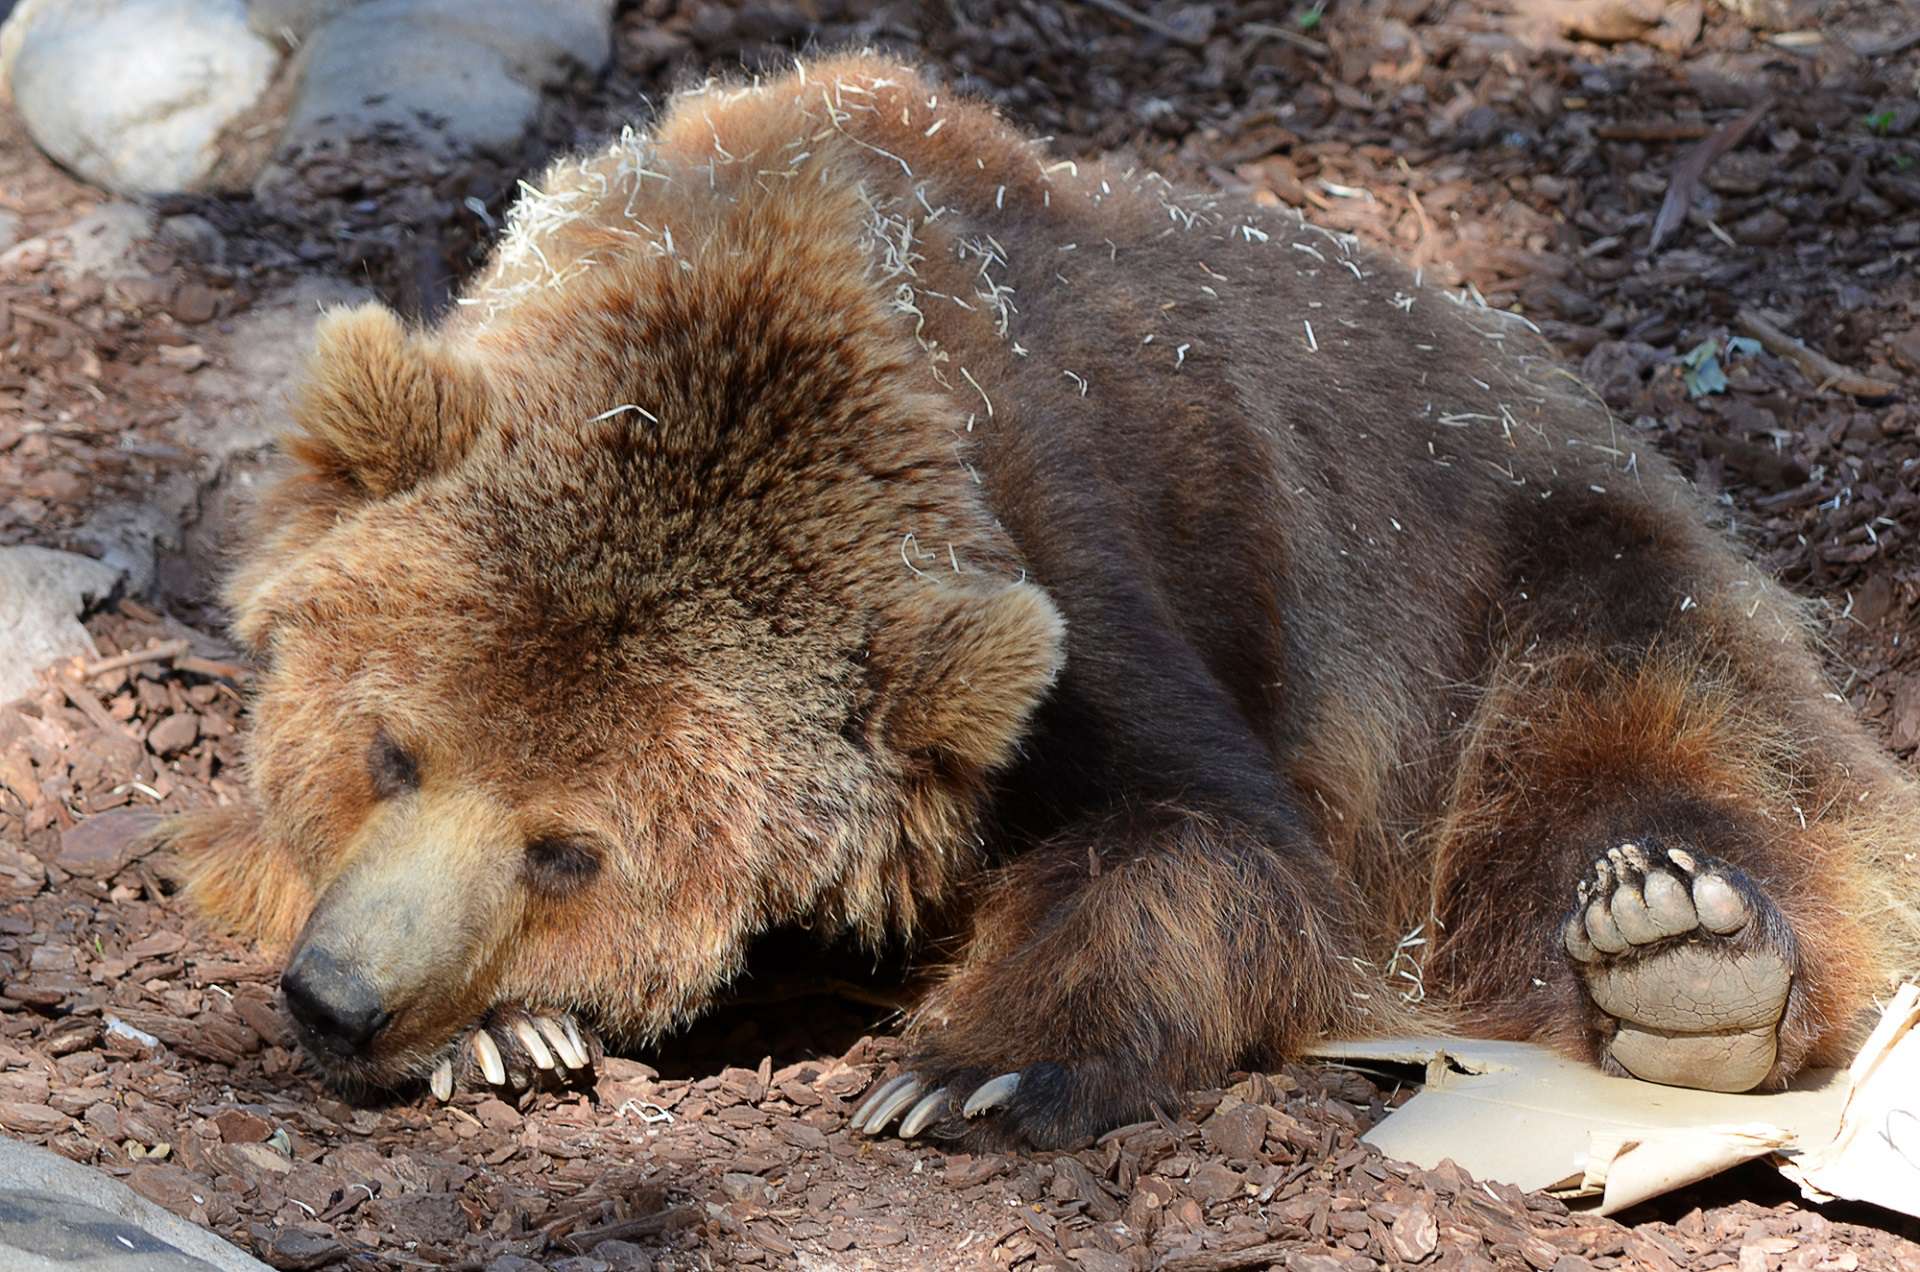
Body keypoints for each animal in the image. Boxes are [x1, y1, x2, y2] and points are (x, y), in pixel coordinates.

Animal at [161, 57, 1920, 1152]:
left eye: (569, 849)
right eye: (391, 752)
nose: (346, 1001)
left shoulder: (1095, 563)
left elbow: (1205, 843)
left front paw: (969, 1072)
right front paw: (498, 1033)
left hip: (1523, 562)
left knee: (1638, 734)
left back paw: (1685, 948)